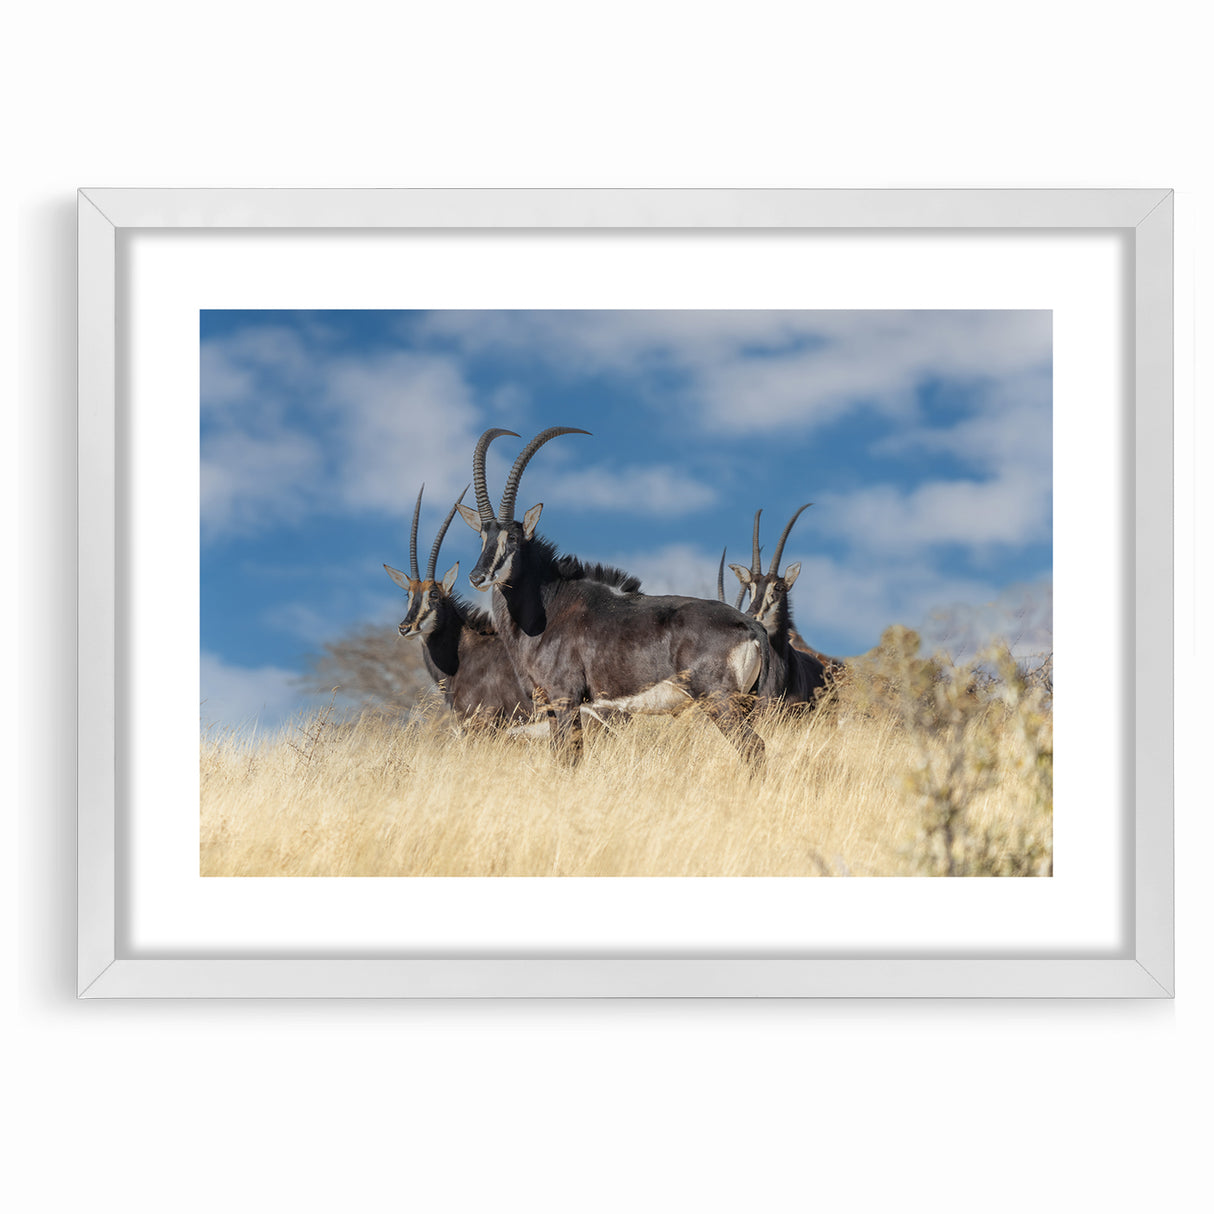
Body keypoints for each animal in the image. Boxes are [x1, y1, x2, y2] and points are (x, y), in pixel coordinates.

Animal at [457, 427, 771, 768]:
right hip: (744, 703)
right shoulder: (550, 705)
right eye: (482, 536)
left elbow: (571, 758)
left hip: (719, 699)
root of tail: (751, 626)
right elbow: (559, 756)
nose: (477, 577)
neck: (549, 607)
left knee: (753, 747)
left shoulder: (566, 698)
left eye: (513, 537)